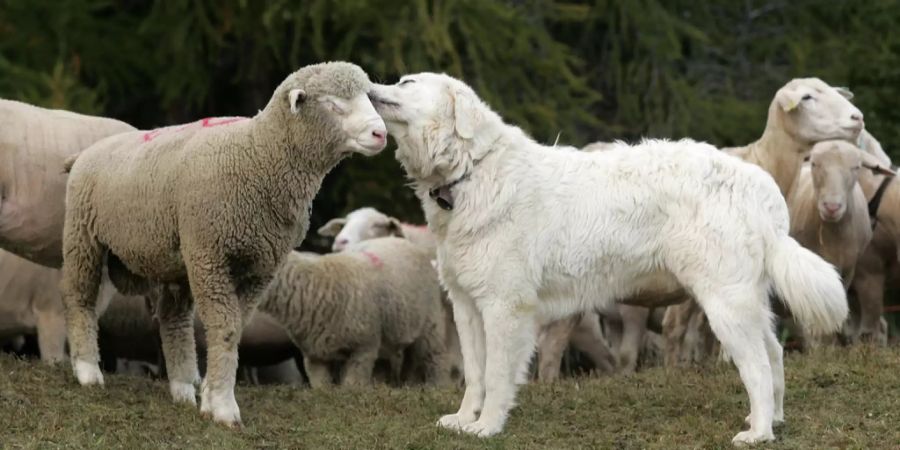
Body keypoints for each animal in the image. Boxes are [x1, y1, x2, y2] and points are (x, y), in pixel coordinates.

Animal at [61, 60, 384, 426]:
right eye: (333, 105)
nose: (381, 134)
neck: (259, 156)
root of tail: (86, 153)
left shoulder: (262, 266)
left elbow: (236, 328)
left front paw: (210, 398)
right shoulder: (210, 253)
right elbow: (225, 327)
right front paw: (224, 408)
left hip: (175, 260)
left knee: (174, 320)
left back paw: (182, 388)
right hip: (84, 236)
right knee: (80, 297)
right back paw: (88, 371)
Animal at [256, 237, 446, 388]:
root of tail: (401, 240)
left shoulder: (363, 348)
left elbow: (352, 384)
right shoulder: (314, 355)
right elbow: (321, 385)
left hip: (430, 323)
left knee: (432, 356)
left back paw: (434, 386)